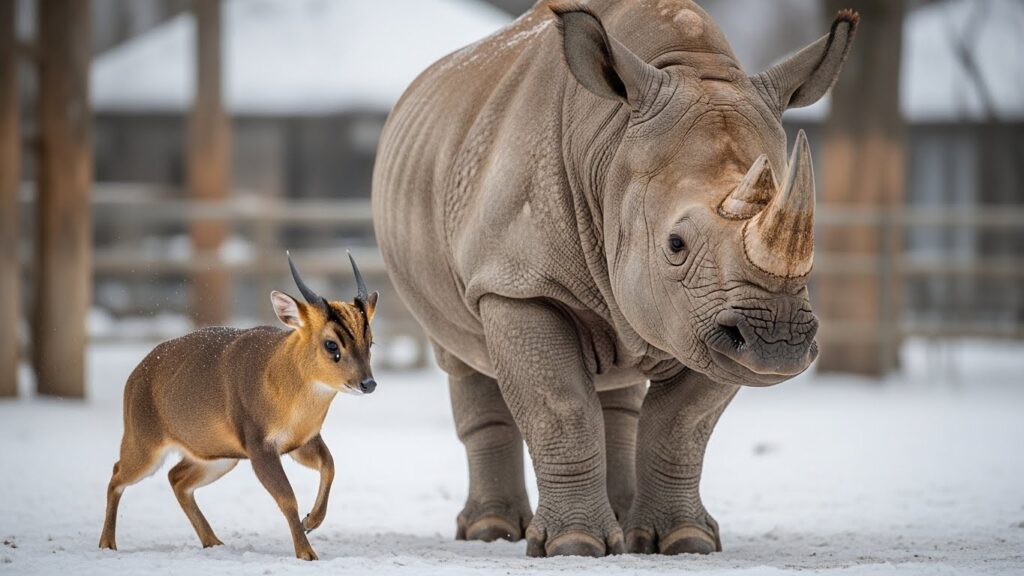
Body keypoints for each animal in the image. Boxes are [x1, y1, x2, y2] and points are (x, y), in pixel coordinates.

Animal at [98, 252, 379, 561]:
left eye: (370, 341)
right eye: (331, 344)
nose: (368, 383)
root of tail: (134, 376)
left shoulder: (302, 440)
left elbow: (330, 465)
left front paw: (311, 521)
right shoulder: (258, 443)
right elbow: (287, 497)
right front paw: (306, 552)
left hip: (219, 455)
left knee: (176, 478)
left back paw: (213, 541)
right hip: (144, 442)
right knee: (117, 474)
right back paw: (107, 543)